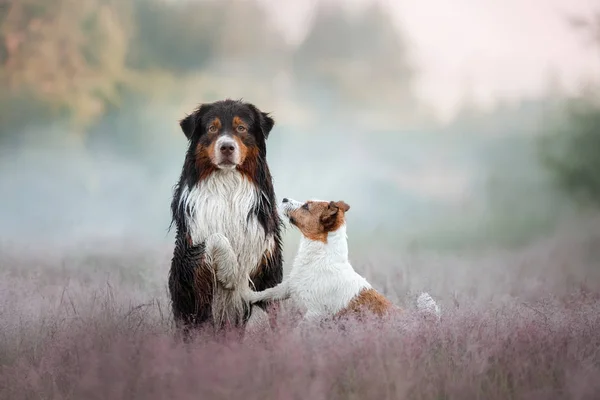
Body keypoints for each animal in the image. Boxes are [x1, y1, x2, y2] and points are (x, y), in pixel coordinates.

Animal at [166, 98, 284, 336]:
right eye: (212, 128)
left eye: (241, 128)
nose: (227, 147)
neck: (227, 184)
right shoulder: (192, 257)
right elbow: (216, 237)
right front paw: (230, 271)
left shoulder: (268, 259)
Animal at [210, 198, 440, 324]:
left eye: (306, 206)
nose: (283, 199)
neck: (320, 257)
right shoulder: (289, 287)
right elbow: (267, 292)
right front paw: (245, 292)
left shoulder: (315, 313)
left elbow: (298, 332)